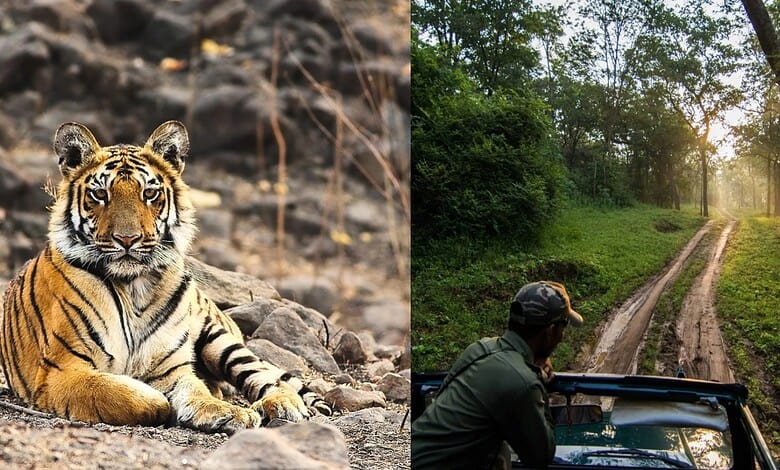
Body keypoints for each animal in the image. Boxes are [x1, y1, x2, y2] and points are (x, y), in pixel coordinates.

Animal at [0, 121, 314, 433]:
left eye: (149, 194)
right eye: (100, 195)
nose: (128, 240)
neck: (134, 287)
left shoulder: (171, 368)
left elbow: (195, 391)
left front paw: (229, 412)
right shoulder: (60, 370)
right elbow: (127, 394)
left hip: (220, 338)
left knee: (264, 374)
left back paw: (283, 403)